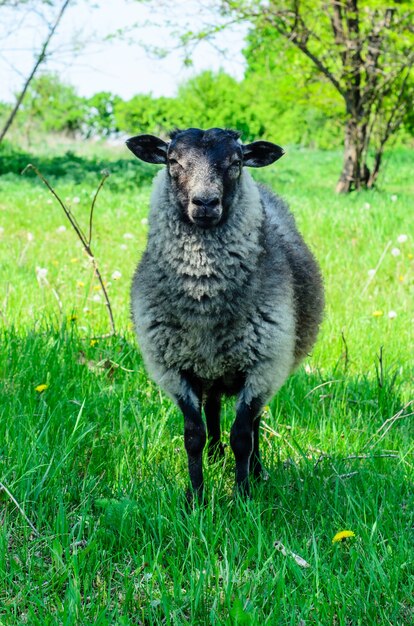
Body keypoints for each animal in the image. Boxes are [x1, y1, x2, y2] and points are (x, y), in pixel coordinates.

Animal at [126, 127, 324, 498]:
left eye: (236, 162)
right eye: (172, 160)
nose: (205, 203)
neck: (204, 300)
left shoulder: (262, 366)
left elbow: (243, 436)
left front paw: (243, 495)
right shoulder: (174, 370)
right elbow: (193, 437)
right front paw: (196, 498)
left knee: (255, 421)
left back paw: (256, 470)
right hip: (210, 370)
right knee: (214, 406)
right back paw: (216, 455)